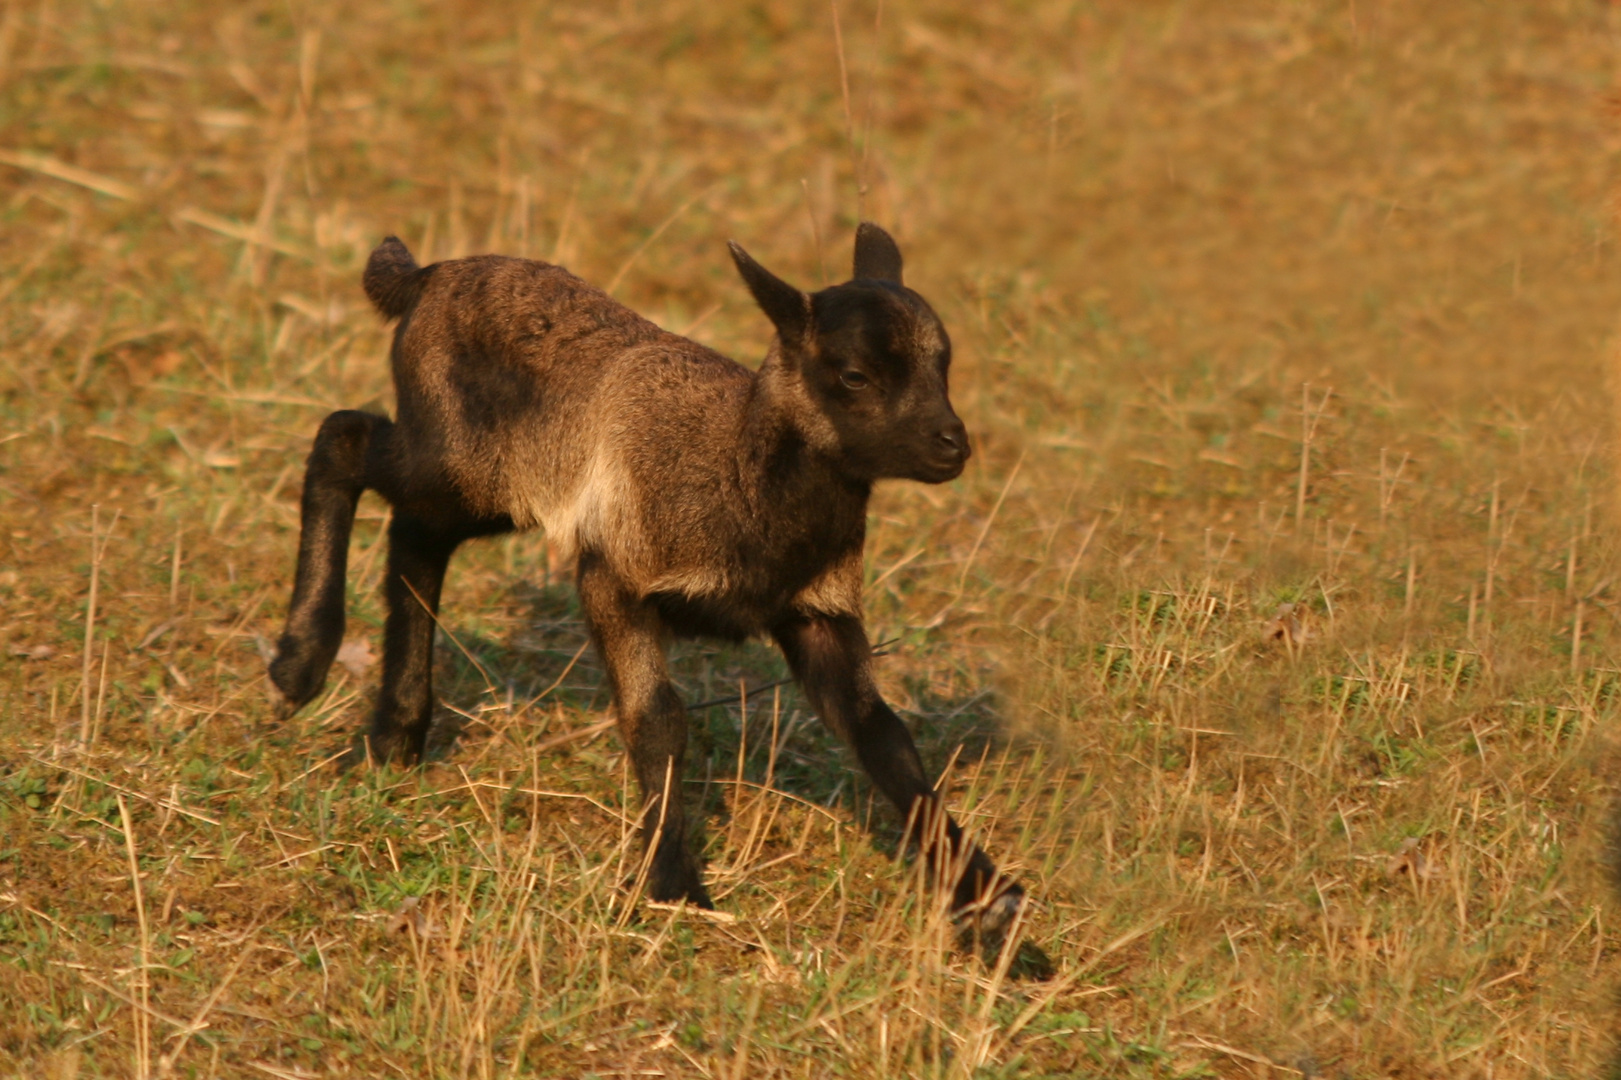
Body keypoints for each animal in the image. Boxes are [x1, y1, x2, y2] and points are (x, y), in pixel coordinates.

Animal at [270, 220, 1017, 927]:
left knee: (415, 539)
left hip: (485, 488)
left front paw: (993, 909)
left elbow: (883, 736)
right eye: (855, 375)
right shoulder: (617, 572)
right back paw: (300, 665)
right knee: (343, 440)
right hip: (457, 458)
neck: (741, 482)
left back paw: (394, 737)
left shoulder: (818, 613)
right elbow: (657, 719)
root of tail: (427, 274)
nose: (952, 445)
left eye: (942, 364)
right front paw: (676, 885)